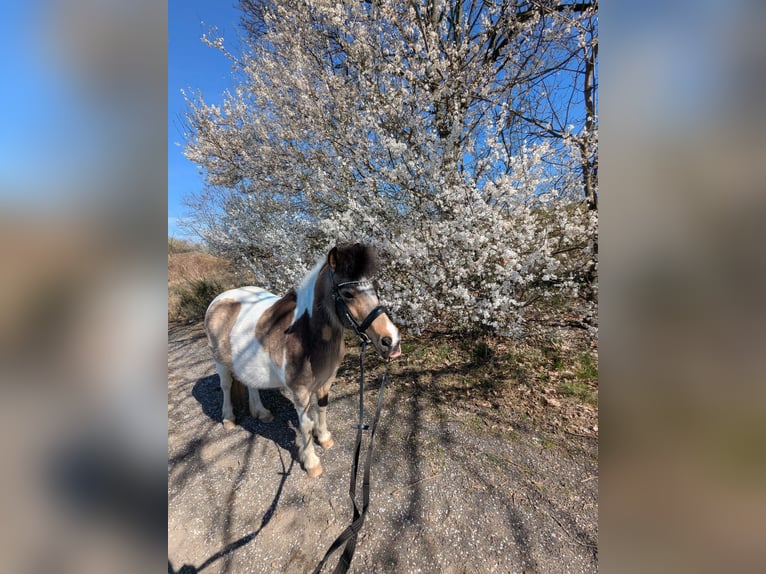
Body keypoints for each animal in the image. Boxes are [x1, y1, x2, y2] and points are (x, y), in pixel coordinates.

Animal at [204, 243, 401, 477]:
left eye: (375, 288)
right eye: (347, 293)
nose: (391, 340)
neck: (305, 333)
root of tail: (220, 299)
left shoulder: (326, 380)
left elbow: (322, 408)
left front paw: (324, 439)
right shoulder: (300, 390)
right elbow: (305, 424)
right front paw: (311, 462)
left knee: (251, 384)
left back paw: (261, 413)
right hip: (220, 362)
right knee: (226, 386)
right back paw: (228, 419)